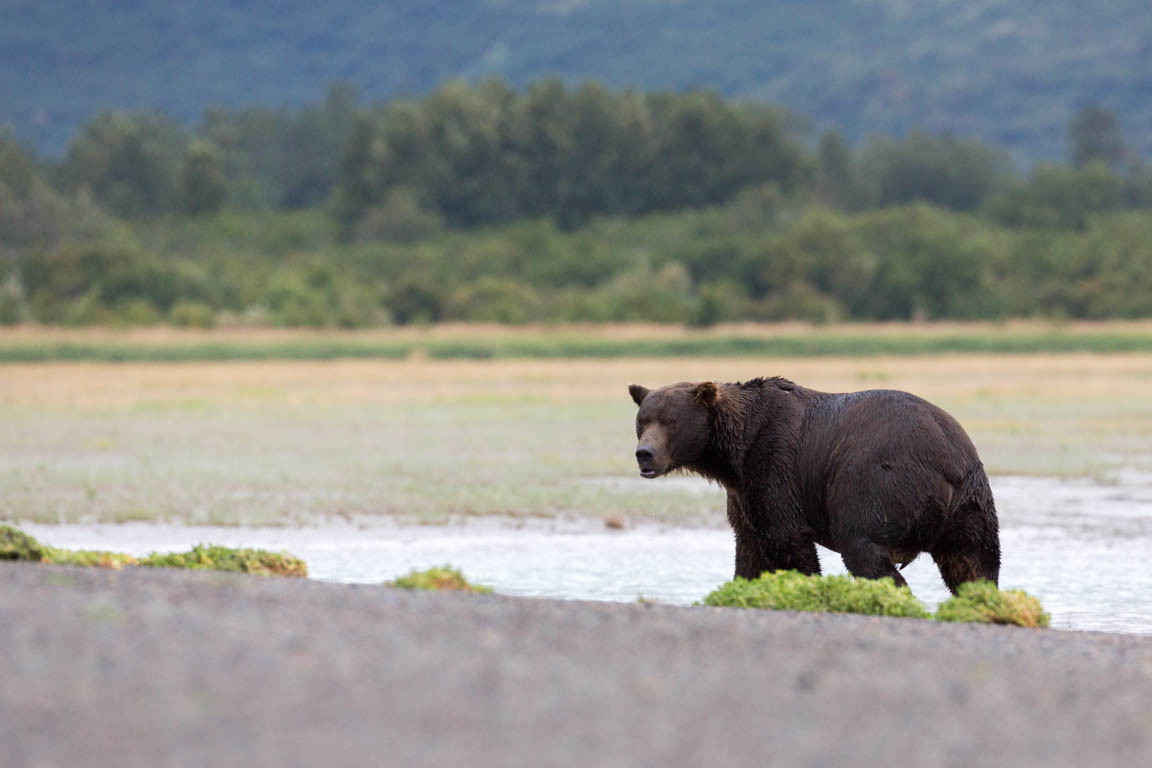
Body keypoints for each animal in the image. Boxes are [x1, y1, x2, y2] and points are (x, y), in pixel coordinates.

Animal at [631, 377, 999, 594]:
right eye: (642, 421)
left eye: (671, 421)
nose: (644, 454)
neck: (732, 456)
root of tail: (946, 458)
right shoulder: (744, 494)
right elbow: (749, 550)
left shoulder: (774, 466)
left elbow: (787, 540)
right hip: (972, 502)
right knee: (974, 562)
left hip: (876, 480)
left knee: (864, 548)